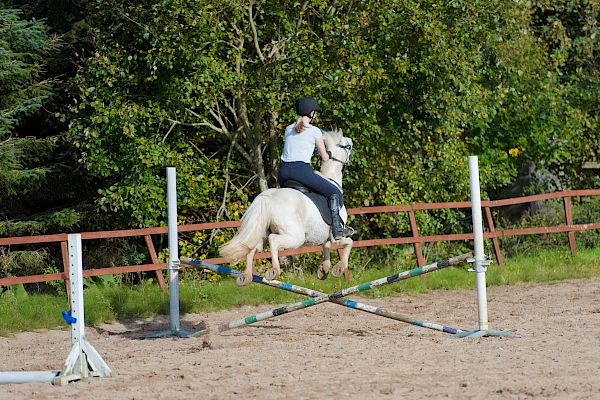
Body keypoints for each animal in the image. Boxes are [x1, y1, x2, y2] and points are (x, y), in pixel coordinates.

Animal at [219, 130, 352, 286]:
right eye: (348, 146)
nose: (351, 142)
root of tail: (269, 197)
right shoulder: (336, 236)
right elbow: (348, 243)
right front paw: (339, 268)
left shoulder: (325, 237)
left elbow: (326, 246)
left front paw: (323, 269)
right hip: (295, 237)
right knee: (273, 240)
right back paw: (274, 270)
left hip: (262, 235)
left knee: (251, 247)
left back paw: (246, 276)